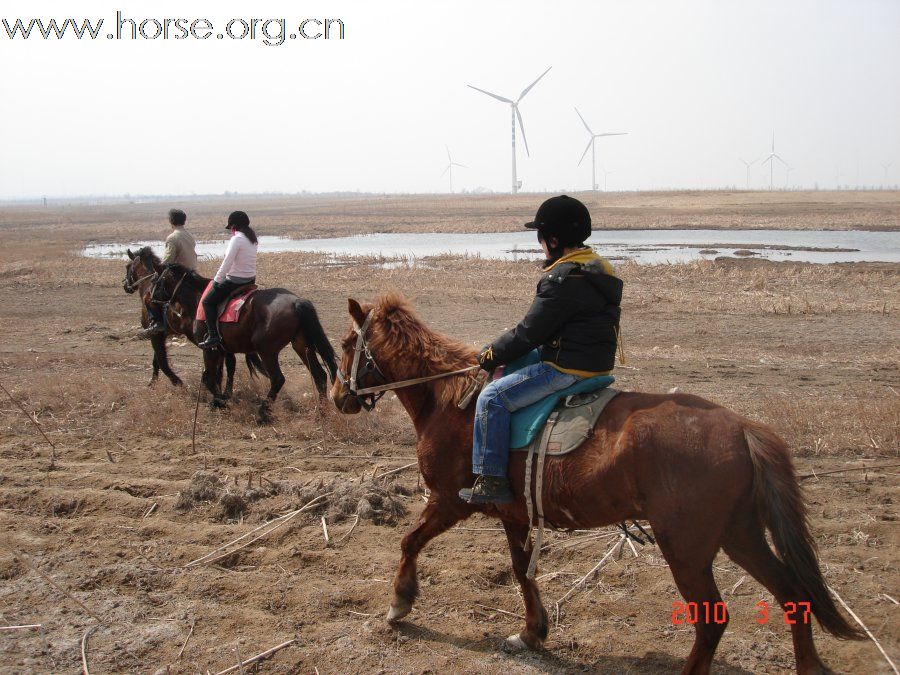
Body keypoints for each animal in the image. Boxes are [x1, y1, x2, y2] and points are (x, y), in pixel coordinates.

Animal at [330, 294, 856, 675]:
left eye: (344, 344)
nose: (337, 397)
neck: (453, 402)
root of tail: (742, 427)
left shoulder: (448, 502)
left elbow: (409, 541)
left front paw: (400, 602)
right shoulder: (514, 514)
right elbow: (522, 572)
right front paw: (532, 632)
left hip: (686, 547)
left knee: (713, 620)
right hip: (740, 534)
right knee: (793, 593)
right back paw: (809, 666)